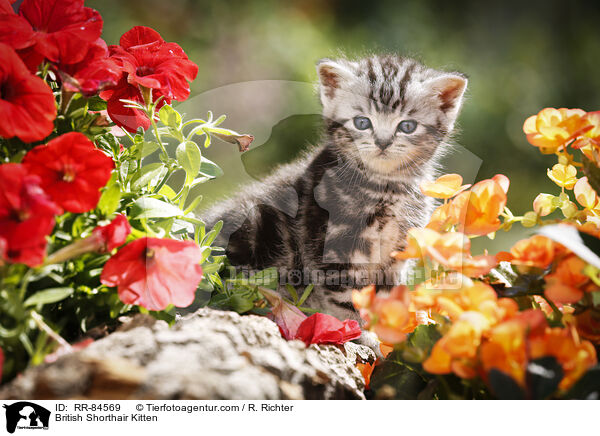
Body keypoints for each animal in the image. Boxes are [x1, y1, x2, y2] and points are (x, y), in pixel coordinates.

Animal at [204, 54, 466, 320]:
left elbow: (383, 298)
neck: (384, 186)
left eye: (407, 126)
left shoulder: (394, 256)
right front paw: (357, 329)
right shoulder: (331, 249)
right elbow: (348, 302)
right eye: (362, 122)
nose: (382, 143)